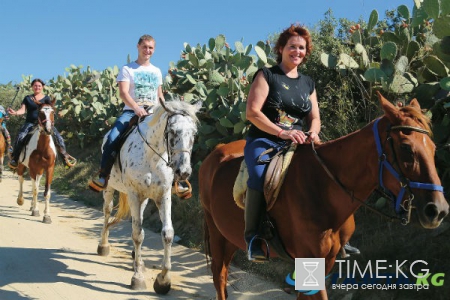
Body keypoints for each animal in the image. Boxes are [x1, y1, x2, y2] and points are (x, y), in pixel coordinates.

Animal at [96, 97, 200, 294]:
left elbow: (167, 234)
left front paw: (163, 281)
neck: (152, 156)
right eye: (172, 131)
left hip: (143, 199)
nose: (183, 172)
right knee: (107, 212)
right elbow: (137, 234)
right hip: (110, 188)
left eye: (194, 133)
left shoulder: (163, 195)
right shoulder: (134, 194)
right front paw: (137, 278)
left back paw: (137, 258)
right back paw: (103, 246)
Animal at [200, 92, 450, 298]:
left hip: (230, 237)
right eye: (406, 148)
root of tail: (214, 153)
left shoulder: (325, 262)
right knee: (219, 277)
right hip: (217, 233)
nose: (438, 210)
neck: (324, 189)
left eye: (433, 148)